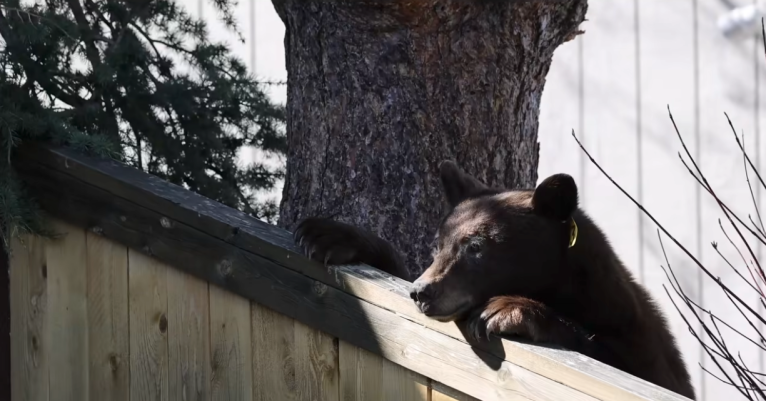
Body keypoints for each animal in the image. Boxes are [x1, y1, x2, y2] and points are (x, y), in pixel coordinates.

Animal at [293, 160, 695, 400]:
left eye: (476, 247)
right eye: (437, 244)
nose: (422, 292)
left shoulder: (641, 344)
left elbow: (618, 361)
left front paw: (507, 310)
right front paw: (329, 236)